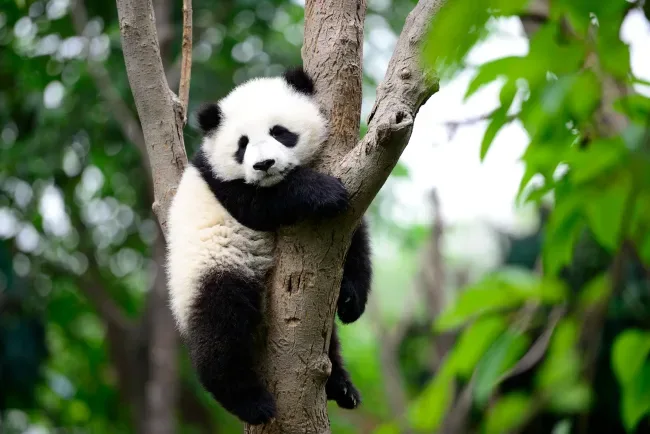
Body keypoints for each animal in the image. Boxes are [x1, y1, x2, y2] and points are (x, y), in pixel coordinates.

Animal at [166, 67, 372, 425]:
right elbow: (262, 204)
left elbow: (354, 239)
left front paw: (350, 300)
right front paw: (322, 192)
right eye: (242, 145)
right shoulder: (223, 185)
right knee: (221, 326)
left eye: (280, 132)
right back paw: (250, 402)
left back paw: (341, 387)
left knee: (326, 340)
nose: (264, 165)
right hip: (211, 268)